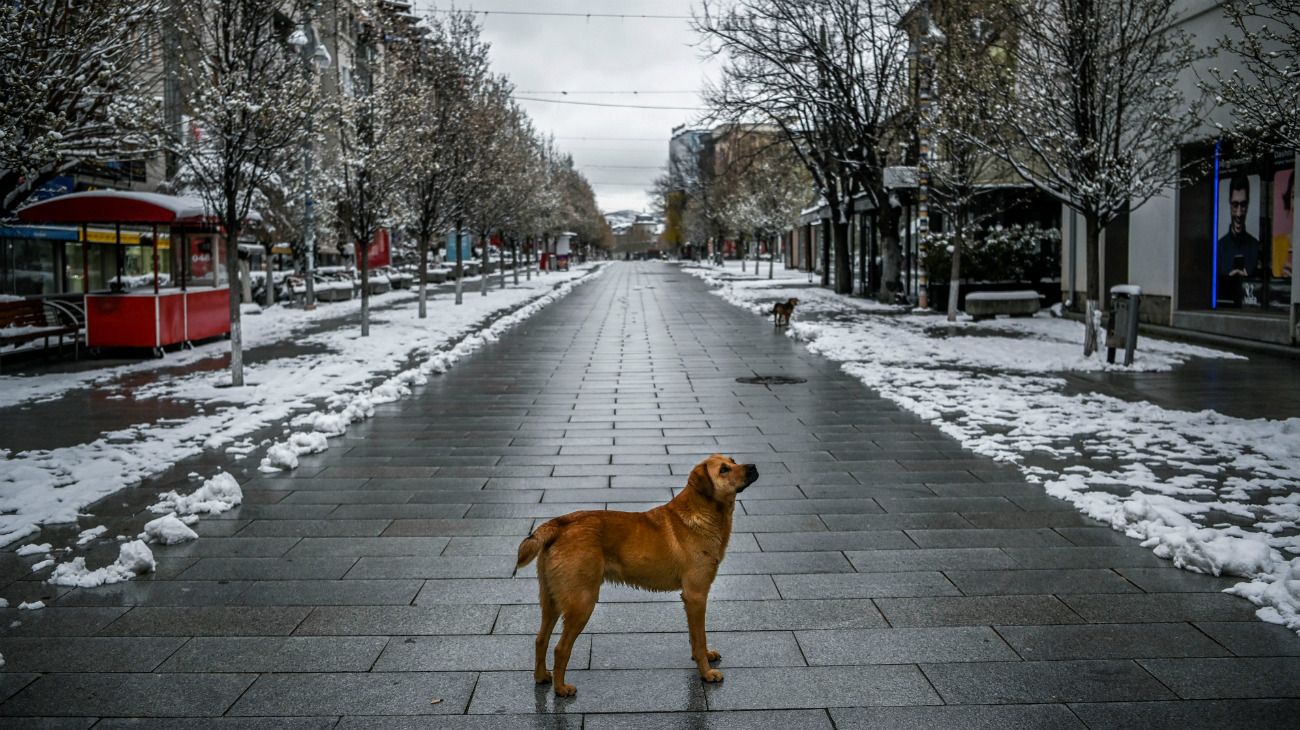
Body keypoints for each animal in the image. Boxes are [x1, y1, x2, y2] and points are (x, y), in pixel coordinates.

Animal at [517, 454, 759, 691]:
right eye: (724, 470)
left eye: (733, 460)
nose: (753, 466)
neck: (703, 512)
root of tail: (559, 524)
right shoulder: (696, 596)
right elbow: (700, 638)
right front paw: (706, 673)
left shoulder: (690, 600)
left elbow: (695, 636)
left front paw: (705, 658)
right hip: (582, 603)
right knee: (560, 648)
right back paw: (561, 689)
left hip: (551, 601)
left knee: (540, 639)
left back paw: (541, 676)